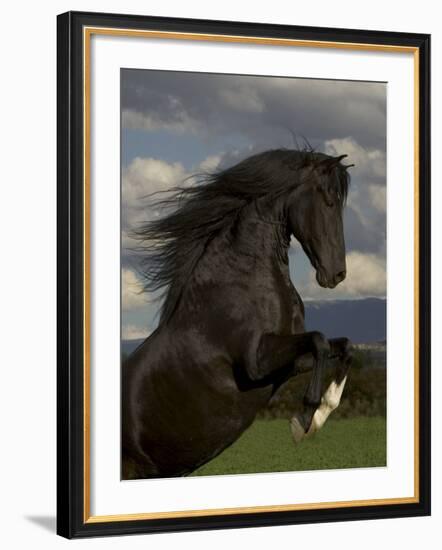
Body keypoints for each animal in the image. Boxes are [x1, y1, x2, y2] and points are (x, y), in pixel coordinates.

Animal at [122, 149, 354, 480]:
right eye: (329, 202)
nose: (337, 274)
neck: (242, 280)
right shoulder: (255, 363)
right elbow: (320, 341)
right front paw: (303, 423)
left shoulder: (291, 362)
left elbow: (343, 346)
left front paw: (318, 417)